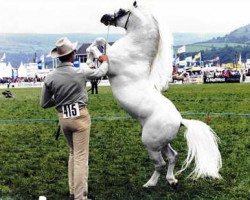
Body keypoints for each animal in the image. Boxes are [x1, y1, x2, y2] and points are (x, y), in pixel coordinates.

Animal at [87, 1, 222, 188]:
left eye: (122, 10)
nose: (104, 18)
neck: (134, 52)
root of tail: (180, 120)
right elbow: (100, 40)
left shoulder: (109, 64)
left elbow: (98, 47)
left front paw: (89, 57)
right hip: (162, 144)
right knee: (173, 156)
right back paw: (172, 180)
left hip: (151, 144)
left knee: (160, 164)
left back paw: (150, 184)